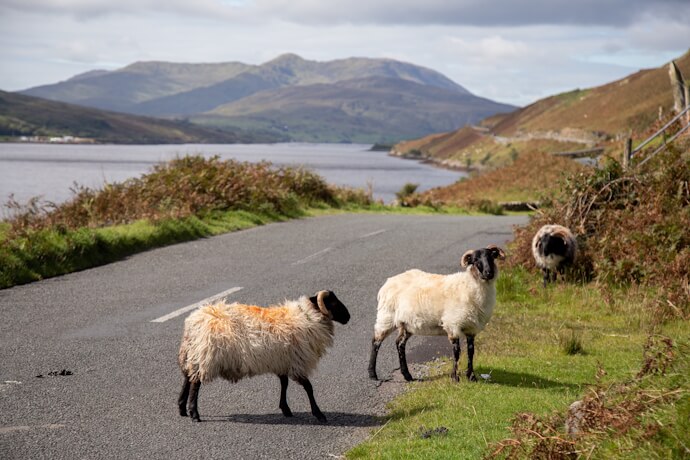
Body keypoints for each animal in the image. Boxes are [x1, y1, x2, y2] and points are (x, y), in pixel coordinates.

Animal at [177, 290, 350, 423]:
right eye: (334, 303)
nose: (348, 317)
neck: (308, 316)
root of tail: (193, 322)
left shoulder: (283, 362)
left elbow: (284, 384)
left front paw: (285, 409)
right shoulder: (297, 363)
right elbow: (309, 388)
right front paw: (319, 414)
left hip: (193, 354)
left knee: (188, 378)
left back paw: (181, 408)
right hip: (205, 356)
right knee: (195, 383)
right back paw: (194, 414)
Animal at [368, 245, 506, 383]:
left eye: (491, 257)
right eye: (475, 260)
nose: (489, 273)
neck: (469, 285)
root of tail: (388, 281)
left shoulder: (471, 329)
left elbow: (471, 352)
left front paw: (471, 377)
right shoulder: (453, 325)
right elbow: (457, 352)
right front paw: (454, 377)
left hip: (406, 324)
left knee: (399, 343)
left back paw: (407, 375)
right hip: (386, 317)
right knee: (376, 341)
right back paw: (372, 374)